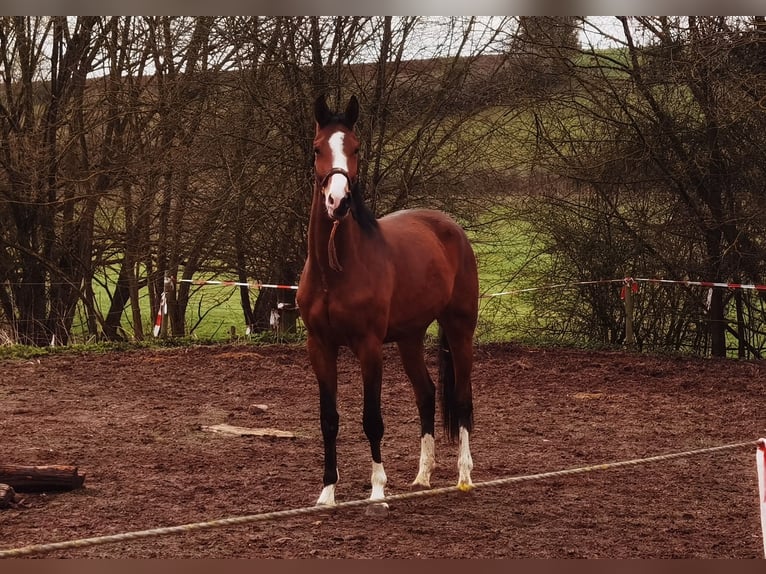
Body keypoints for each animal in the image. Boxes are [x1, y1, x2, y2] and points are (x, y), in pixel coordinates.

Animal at [296, 94, 479, 507]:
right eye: (317, 148)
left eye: (355, 148)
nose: (338, 201)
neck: (335, 270)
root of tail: (452, 228)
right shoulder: (320, 347)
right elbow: (328, 419)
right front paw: (327, 493)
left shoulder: (369, 347)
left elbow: (372, 419)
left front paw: (378, 488)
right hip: (410, 338)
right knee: (427, 395)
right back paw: (422, 476)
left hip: (459, 330)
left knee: (461, 399)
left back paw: (464, 476)